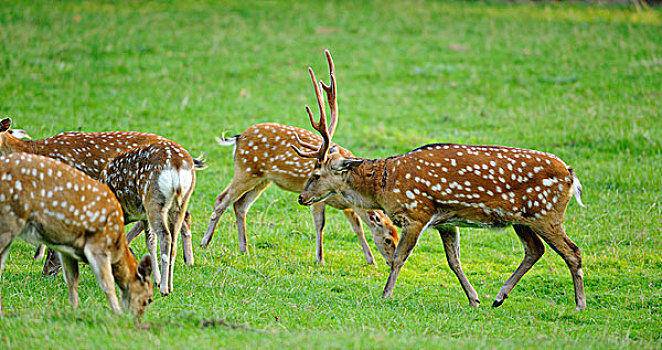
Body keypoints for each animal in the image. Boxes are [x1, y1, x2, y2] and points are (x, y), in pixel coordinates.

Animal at [0, 118, 205, 296]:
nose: (46, 273)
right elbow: (149, 241)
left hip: (154, 202)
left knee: (166, 235)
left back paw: (166, 284)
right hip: (172, 203)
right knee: (175, 230)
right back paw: (173, 275)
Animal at [0, 152, 153, 314]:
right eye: (149, 299)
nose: (137, 316)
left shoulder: (67, 250)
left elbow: (72, 281)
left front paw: (74, 310)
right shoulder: (97, 247)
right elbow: (108, 284)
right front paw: (117, 313)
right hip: (9, 222)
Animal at [200, 121, 400, 266]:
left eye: (397, 237)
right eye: (389, 240)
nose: (391, 263)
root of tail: (238, 138)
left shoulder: (348, 206)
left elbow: (358, 228)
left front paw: (371, 260)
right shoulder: (318, 198)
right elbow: (320, 224)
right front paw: (320, 259)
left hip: (262, 179)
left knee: (239, 205)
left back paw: (244, 249)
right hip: (246, 170)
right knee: (221, 199)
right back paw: (204, 243)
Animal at [294, 50, 588, 310]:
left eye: (316, 174)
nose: (301, 197)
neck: (385, 186)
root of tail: (571, 175)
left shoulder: (418, 212)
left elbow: (399, 257)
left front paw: (385, 294)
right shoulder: (446, 220)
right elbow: (454, 261)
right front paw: (474, 299)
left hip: (546, 213)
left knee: (572, 251)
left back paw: (579, 305)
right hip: (522, 219)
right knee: (535, 250)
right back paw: (498, 298)